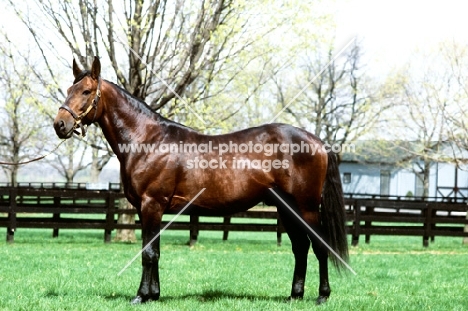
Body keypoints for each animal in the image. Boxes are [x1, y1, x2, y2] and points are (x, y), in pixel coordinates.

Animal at [54, 57, 348, 306]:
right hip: (286, 209)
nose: (60, 124)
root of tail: (317, 142)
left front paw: (141, 296)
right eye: (69, 88)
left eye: (86, 91)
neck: (147, 140)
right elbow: (154, 250)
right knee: (301, 247)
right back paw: (294, 296)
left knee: (319, 247)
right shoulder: (148, 209)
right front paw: (154, 295)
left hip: (307, 208)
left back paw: (322, 296)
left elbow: (148, 253)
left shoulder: (152, 205)